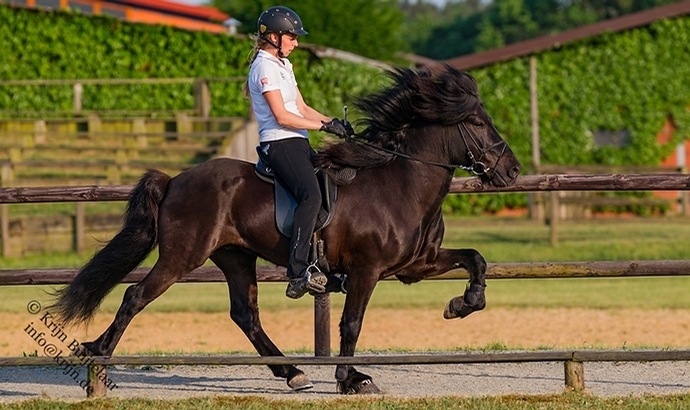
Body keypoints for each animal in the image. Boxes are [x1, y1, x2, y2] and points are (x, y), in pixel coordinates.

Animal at [51, 66, 520, 394]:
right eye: (477, 124)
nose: (512, 171)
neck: (400, 183)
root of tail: (176, 180)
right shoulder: (367, 270)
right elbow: (352, 324)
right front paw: (351, 378)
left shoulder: (416, 265)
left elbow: (476, 260)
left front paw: (463, 304)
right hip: (182, 256)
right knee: (135, 295)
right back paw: (98, 353)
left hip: (235, 257)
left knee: (245, 314)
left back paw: (292, 373)